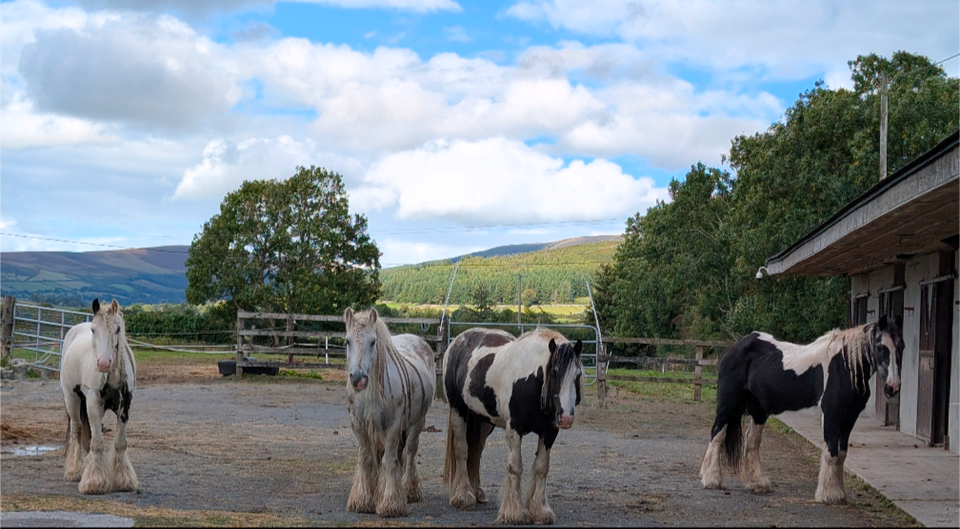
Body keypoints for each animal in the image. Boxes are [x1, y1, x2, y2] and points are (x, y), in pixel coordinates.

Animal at [60, 298, 138, 494]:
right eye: (94, 330)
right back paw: (75, 470)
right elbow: (97, 443)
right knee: (77, 430)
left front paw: (124, 480)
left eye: (117, 329)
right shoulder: (93, 403)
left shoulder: (125, 406)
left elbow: (119, 443)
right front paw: (94, 482)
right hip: (71, 399)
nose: (103, 363)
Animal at [343, 307, 436, 517]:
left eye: (373, 341)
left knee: (410, 451)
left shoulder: (393, 426)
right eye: (347, 341)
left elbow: (389, 460)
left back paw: (409, 490)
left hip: (417, 422)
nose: (358, 379)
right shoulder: (358, 424)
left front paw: (390, 503)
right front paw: (362, 500)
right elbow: (367, 458)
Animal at [443, 327, 583, 525]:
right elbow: (515, 467)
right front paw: (514, 512)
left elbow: (542, 468)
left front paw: (540, 511)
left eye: (578, 375)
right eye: (555, 372)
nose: (566, 418)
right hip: (458, 411)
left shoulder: (549, 432)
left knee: (476, 453)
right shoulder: (514, 429)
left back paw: (477, 492)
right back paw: (464, 496)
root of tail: (459, 340)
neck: (530, 381)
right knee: (462, 451)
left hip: (483, 422)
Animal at [700, 315, 904, 503]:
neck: (844, 366)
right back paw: (711, 480)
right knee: (717, 434)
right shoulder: (832, 415)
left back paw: (756, 483)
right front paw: (828, 495)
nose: (892, 387)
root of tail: (733, 349)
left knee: (752, 441)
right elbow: (831, 453)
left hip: (759, 410)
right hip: (728, 404)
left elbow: (842, 455)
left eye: (901, 347)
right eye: (880, 347)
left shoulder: (849, 418)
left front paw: (839, 493)